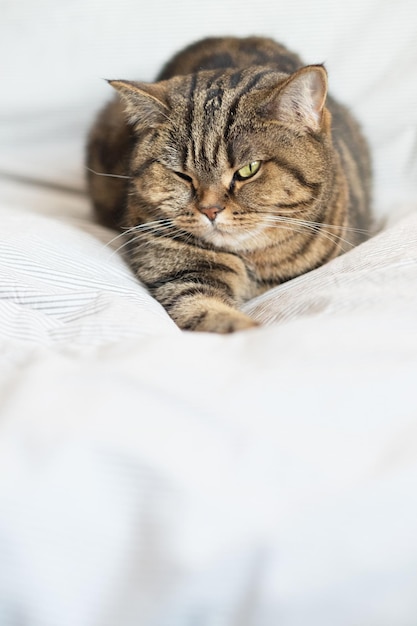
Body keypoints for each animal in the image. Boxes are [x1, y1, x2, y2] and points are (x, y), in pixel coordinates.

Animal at [87, 35, 370, 332]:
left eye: (248, 170)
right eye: (182, 174)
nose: (210, 210)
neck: (252, 264)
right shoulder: (181, 271)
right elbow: (208, 312)